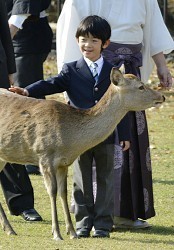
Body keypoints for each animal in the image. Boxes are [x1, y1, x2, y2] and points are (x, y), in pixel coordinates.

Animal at [0, 68, 164, 240]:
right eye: (141, 87)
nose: (162, 96)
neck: (69, 140)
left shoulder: (63, 163)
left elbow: (63, 192)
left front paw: (72, 232)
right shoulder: (44, 155)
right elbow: (52, 192)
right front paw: (57, 234)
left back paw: (9, 229)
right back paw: (10, 228)